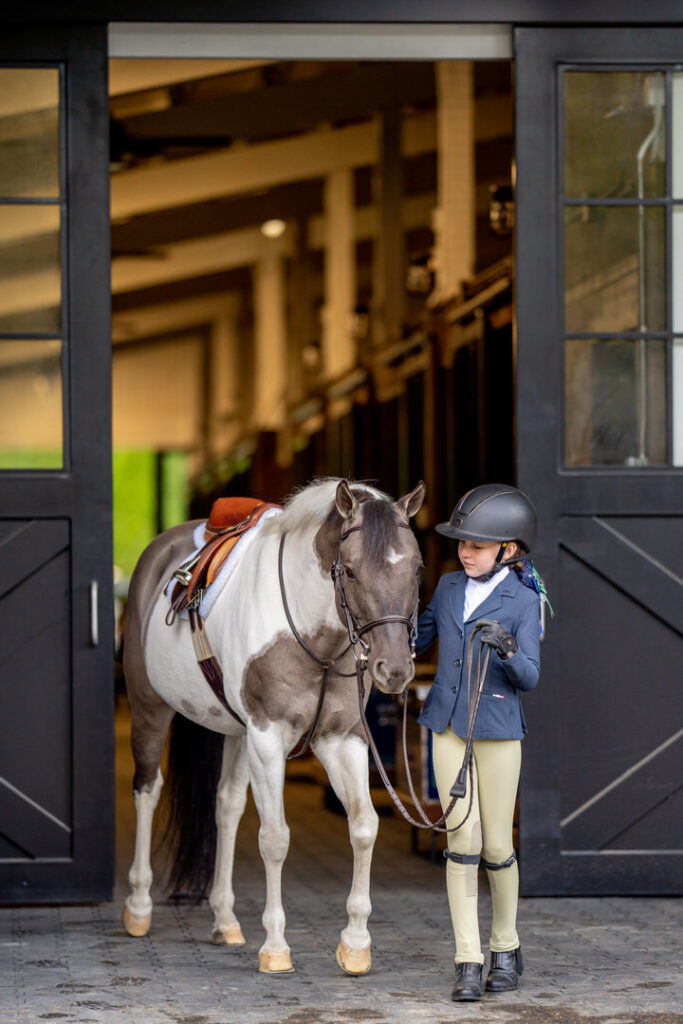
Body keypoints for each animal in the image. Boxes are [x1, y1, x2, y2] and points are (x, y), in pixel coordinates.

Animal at [120, 479, 423, 974]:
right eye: (351, 571)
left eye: (416, 568)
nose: (393, 669)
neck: (314, 635)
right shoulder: (267, 738)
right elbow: (276, 838)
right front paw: (276, 946)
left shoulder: (342, 739)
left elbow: (363, 825)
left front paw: (356, 944)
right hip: (151, 709)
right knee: (147, 790)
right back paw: (139, 907)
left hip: (235, 733)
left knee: (226, 806)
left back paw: (225, 920)